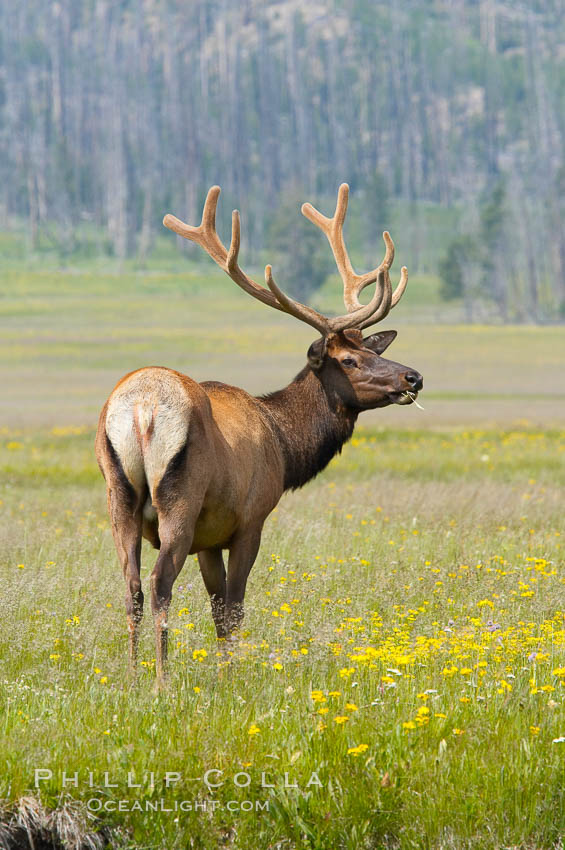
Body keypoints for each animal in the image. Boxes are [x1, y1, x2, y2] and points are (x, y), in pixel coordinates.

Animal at [97, 184, 420, 684]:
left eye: (374, 350)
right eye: (349, 360)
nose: (413, 377)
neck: (284, 447)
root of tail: (140, 408)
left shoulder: (209, 538)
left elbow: (216, 610)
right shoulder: (250, 519)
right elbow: (234, 608)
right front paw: (231, 679)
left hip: (119, 496)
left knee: (131, 586)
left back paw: (132, 678)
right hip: (180, 499)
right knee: (159, 583)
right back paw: (161, 683)